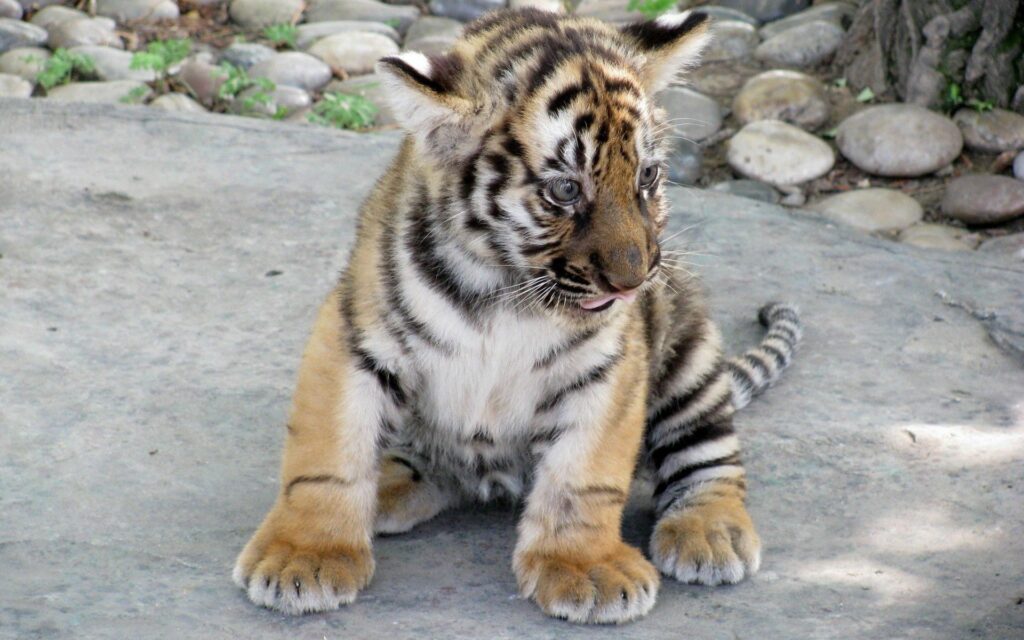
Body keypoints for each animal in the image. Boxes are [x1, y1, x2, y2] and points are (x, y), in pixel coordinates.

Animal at [232, 7, 803, 624]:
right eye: (565, 189)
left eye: (647, 177)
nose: (634, 280)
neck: (507, 290)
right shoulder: (355, 336)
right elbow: (327, 457)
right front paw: (305, 555)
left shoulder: (607, 365)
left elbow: (584, 474)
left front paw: (586, 568)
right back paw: (385, 484)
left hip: (690, 353)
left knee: (711, 457)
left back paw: (710, 533)